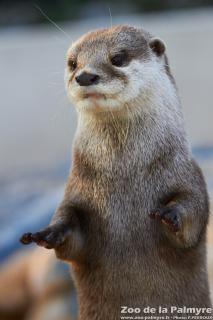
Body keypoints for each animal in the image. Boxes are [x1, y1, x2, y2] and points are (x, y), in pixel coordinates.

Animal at [20, 25, 211, 320]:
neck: (125, 176)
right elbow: (70, 229)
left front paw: (170, 214)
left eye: (118, 58)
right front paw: (49, 232)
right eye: (73, 63)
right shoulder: (77, 188)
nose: (85, 76)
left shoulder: (189, 175)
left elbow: (192, 215)